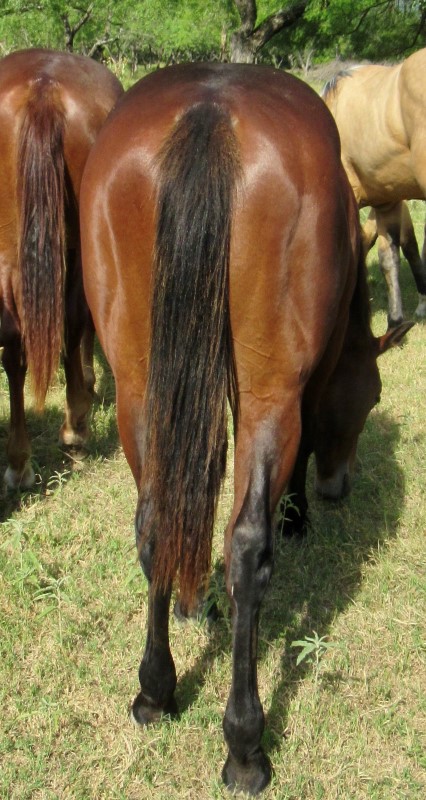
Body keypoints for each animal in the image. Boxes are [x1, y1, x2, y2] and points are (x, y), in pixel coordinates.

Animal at [80, 62, 412, 792]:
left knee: (155, 518)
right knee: (246, 548)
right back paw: (245, 744)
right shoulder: (306, 381)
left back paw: (156, 690)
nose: (339, 487)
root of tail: (208, 111)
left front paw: (188, 600)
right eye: (370, 396)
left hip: (138, 383)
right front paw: (295, 514)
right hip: (268, 394)